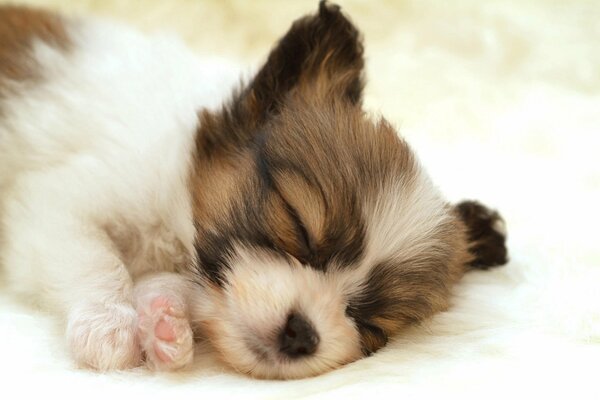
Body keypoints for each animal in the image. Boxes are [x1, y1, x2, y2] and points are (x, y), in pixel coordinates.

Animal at [0, 1, 506, 380]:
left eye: (371, 323)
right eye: (296, 225)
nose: (303, 334)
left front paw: (164, 317)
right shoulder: (61, 200)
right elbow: (94, 256)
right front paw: (108, 322)